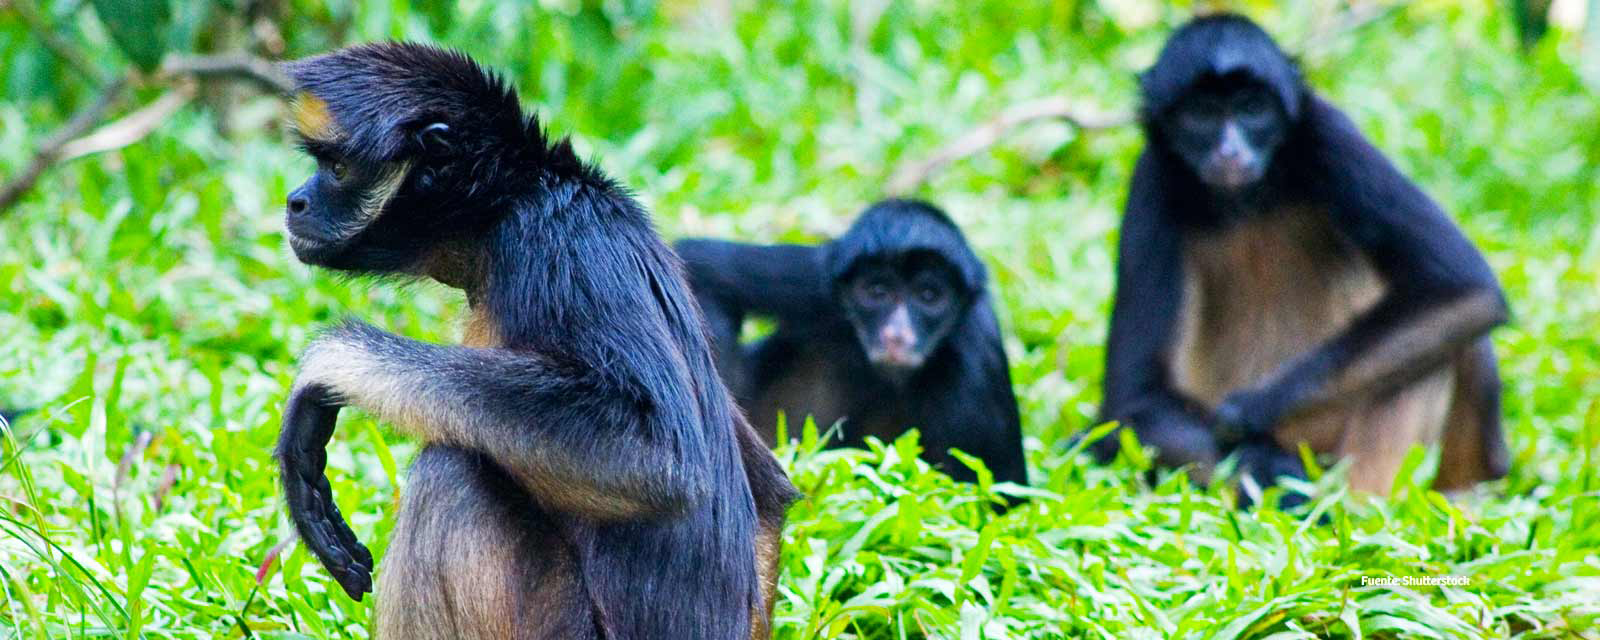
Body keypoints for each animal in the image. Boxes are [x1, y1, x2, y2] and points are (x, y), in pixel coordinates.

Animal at [274, 42, 798, 639]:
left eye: (336, 169)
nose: (295, 201)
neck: (512, 200)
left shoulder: (553, 240)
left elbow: (659, 457)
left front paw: (328, 370)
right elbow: (771, 487)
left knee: (449, 476)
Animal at [675, 199, 1027, 488]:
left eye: (929, 295)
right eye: (877, 291)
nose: (896, 335)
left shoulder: (977, 348)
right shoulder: (814, 280)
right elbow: (704, 265)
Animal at [1094, 14, 1510, 507]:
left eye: (1253, 108)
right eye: (1202, 114)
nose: (1230, 151)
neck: (1246, 199)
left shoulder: (1327, 136)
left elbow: (1467, 292)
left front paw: (1249, 434)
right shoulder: (1152, 179)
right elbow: (1137, 400)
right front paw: (1269, 471)